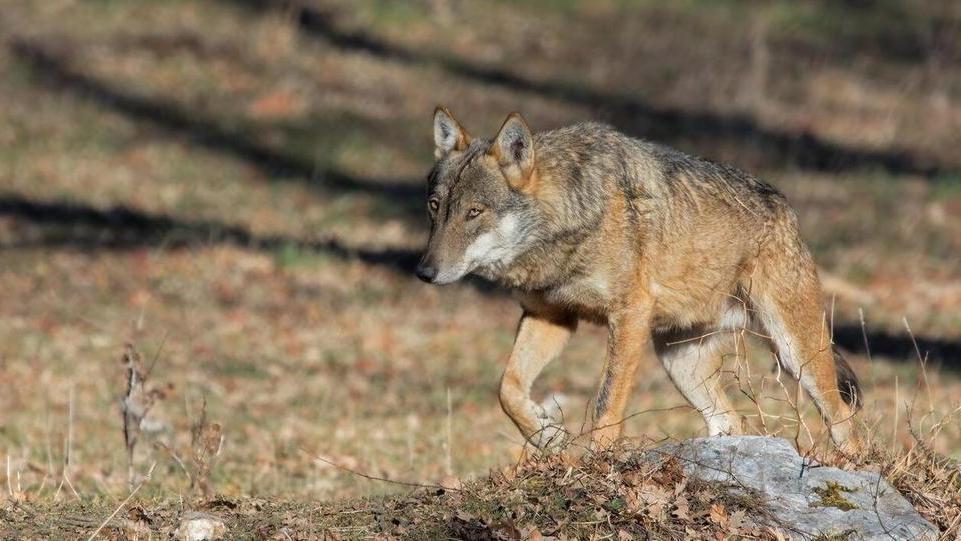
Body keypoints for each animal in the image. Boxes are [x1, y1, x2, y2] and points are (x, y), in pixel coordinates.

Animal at [416, 106, 861, 450]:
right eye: (435, 207)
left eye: (474, 212)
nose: (423, 271)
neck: (570, 220)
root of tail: (788, 209)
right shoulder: (551, 317)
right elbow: (507, 387)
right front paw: (548, 436)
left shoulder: (629, 316)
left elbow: (605, 405)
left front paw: (592, 467)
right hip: (680, 363)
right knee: (731, 422)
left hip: (796, 354)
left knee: (843, 420)